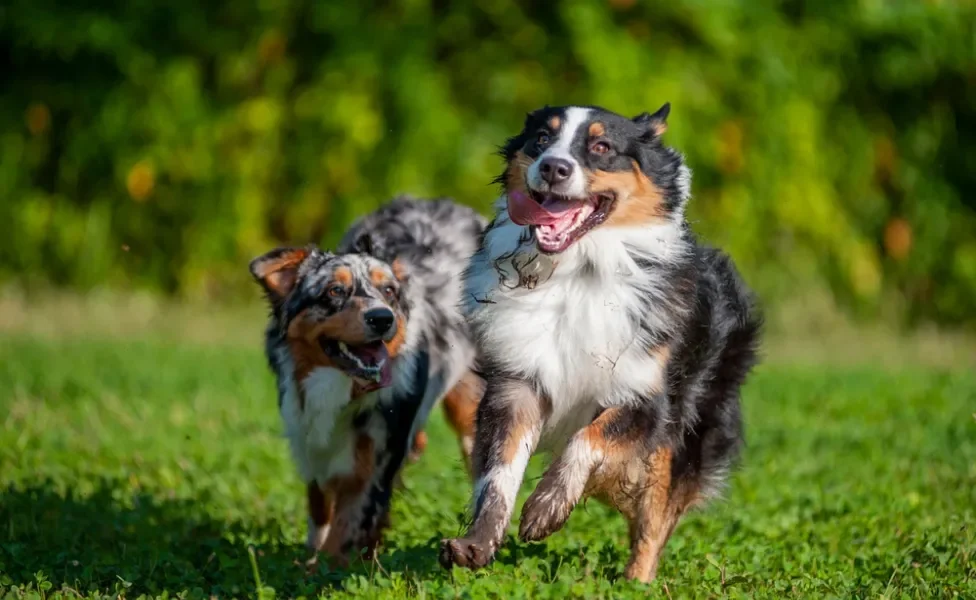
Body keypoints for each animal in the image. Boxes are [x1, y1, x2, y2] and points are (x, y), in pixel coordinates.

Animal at [248, 196, 484, 564]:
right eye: (334, 291)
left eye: (388, 290)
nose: (382, 318)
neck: (341, 385)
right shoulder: (309, 439)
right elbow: (320, 508)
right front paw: (311, 557)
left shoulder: (376, 459)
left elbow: (346, 530)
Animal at [436, 104, 764, 580]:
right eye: (541, 139)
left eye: (602, 146)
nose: (553, 167)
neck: (577, 270)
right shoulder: (517, 383)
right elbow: (500, 471)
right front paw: (476, 543)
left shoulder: (647, 398)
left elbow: (588, 438)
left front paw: (546, 507)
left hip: (685, 435)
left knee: (655, 519)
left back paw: (636, 582)